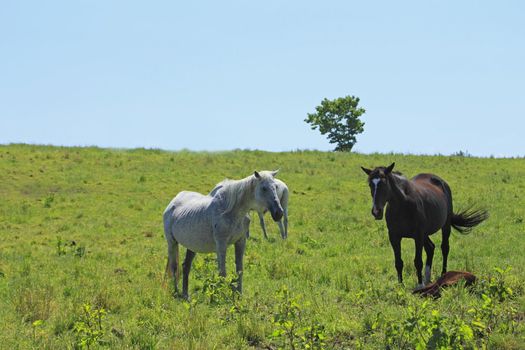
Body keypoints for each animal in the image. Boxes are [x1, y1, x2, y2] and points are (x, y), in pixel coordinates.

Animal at [163, 170, 282, 298]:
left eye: (275, 187)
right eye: (264, 188)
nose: (279, 213)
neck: (232, 211)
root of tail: (172, 204)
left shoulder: (241, 242)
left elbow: (239, 270)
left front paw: (239, 294)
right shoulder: (221, 244)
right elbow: (222, 273)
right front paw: (225, 295)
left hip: (192, 246)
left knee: (186, 266)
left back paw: (185, 295)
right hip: (172, 242)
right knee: (174, 267)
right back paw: (176, 292)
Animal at [360, 163, 488, 288]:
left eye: (384, 183)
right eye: (370, 184)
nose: (376, 211)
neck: (403, 205)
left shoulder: (418, 236)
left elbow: (418, 261)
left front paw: (420, 284)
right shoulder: (394, 237)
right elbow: (398, 262)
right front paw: (400, 285)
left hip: (444, 226)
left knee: (444, 248)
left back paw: (442, 274)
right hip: (425, 234)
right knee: (430, 248)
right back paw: (427, 279)